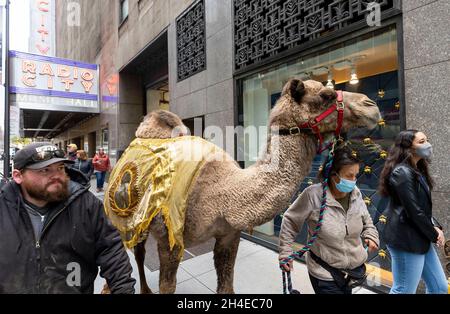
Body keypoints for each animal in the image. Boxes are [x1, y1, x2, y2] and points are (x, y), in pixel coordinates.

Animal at [108, 78, 380, 294]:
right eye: (326, 95)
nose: (371, 105)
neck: (222, 192)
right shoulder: (170, 238)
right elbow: (167, 285)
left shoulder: (229, 234)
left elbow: (227, 285)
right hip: (131, 217)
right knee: (138, 252)